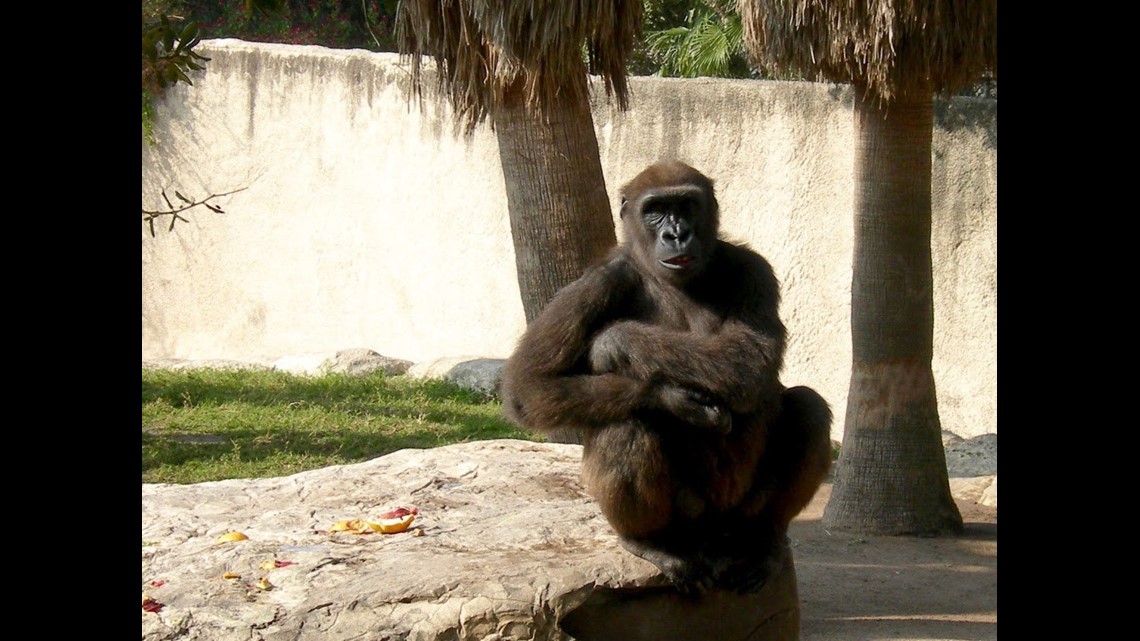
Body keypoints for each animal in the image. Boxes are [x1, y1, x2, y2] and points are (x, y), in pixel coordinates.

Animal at [499, 160, 829, 593]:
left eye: (687, 205)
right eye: (655, 209)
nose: (676, 233)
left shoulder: (753, 267)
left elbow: (749, 358)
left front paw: (614, 341)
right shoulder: (597, 282)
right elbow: (531, 385)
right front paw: (672, 398)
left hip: (737, 516)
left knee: (808, 408)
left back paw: (763, 537)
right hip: (690, 521)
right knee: (625, 423)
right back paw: (648, 541)